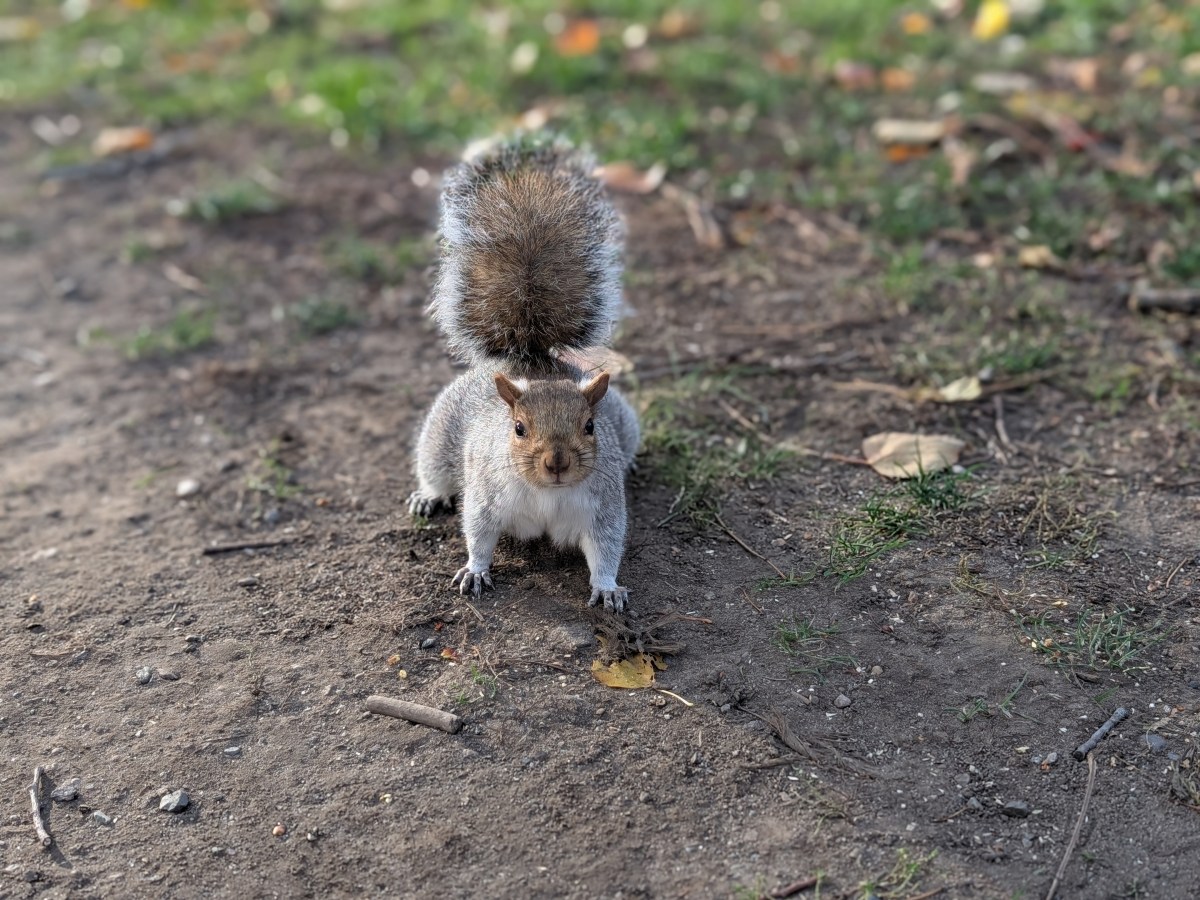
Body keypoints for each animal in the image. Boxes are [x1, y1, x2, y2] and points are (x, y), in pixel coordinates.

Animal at [407, 137, 640, 612]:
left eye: (590, 426)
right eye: (517, 428)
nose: (557, 462)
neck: (548, 493)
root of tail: (530, 360)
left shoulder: (603, 507)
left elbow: (606, 547)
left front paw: (608, 587)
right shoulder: (486, 495)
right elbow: (478, 532)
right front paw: (475, 570)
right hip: (440, 437)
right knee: (434, 470)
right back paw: (429, 495)